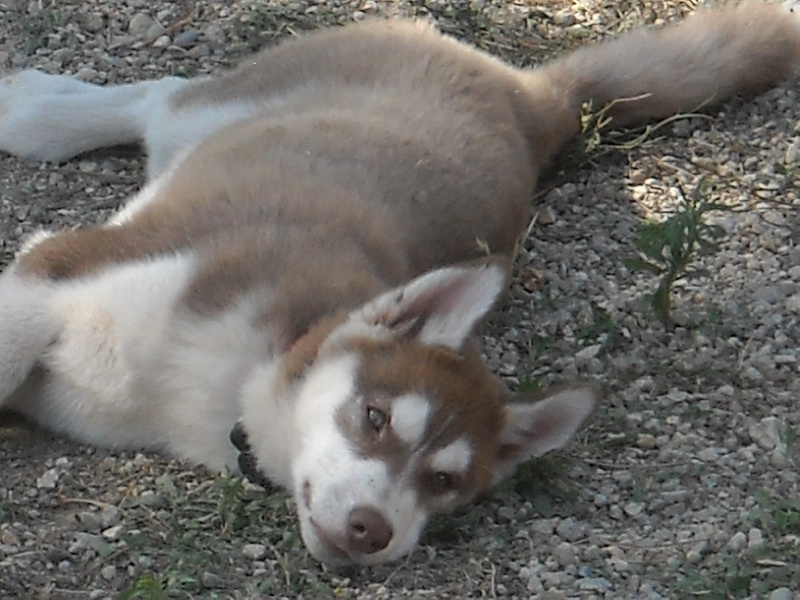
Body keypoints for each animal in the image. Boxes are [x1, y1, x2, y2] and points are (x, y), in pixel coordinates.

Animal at [0, 2, 798, 566]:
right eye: (375, 417)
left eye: (443, 484)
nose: (371, 530)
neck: (231, 375)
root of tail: (535, 100)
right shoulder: (57, 271)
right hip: (233, 106)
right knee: (164, 95)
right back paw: (39, 110)